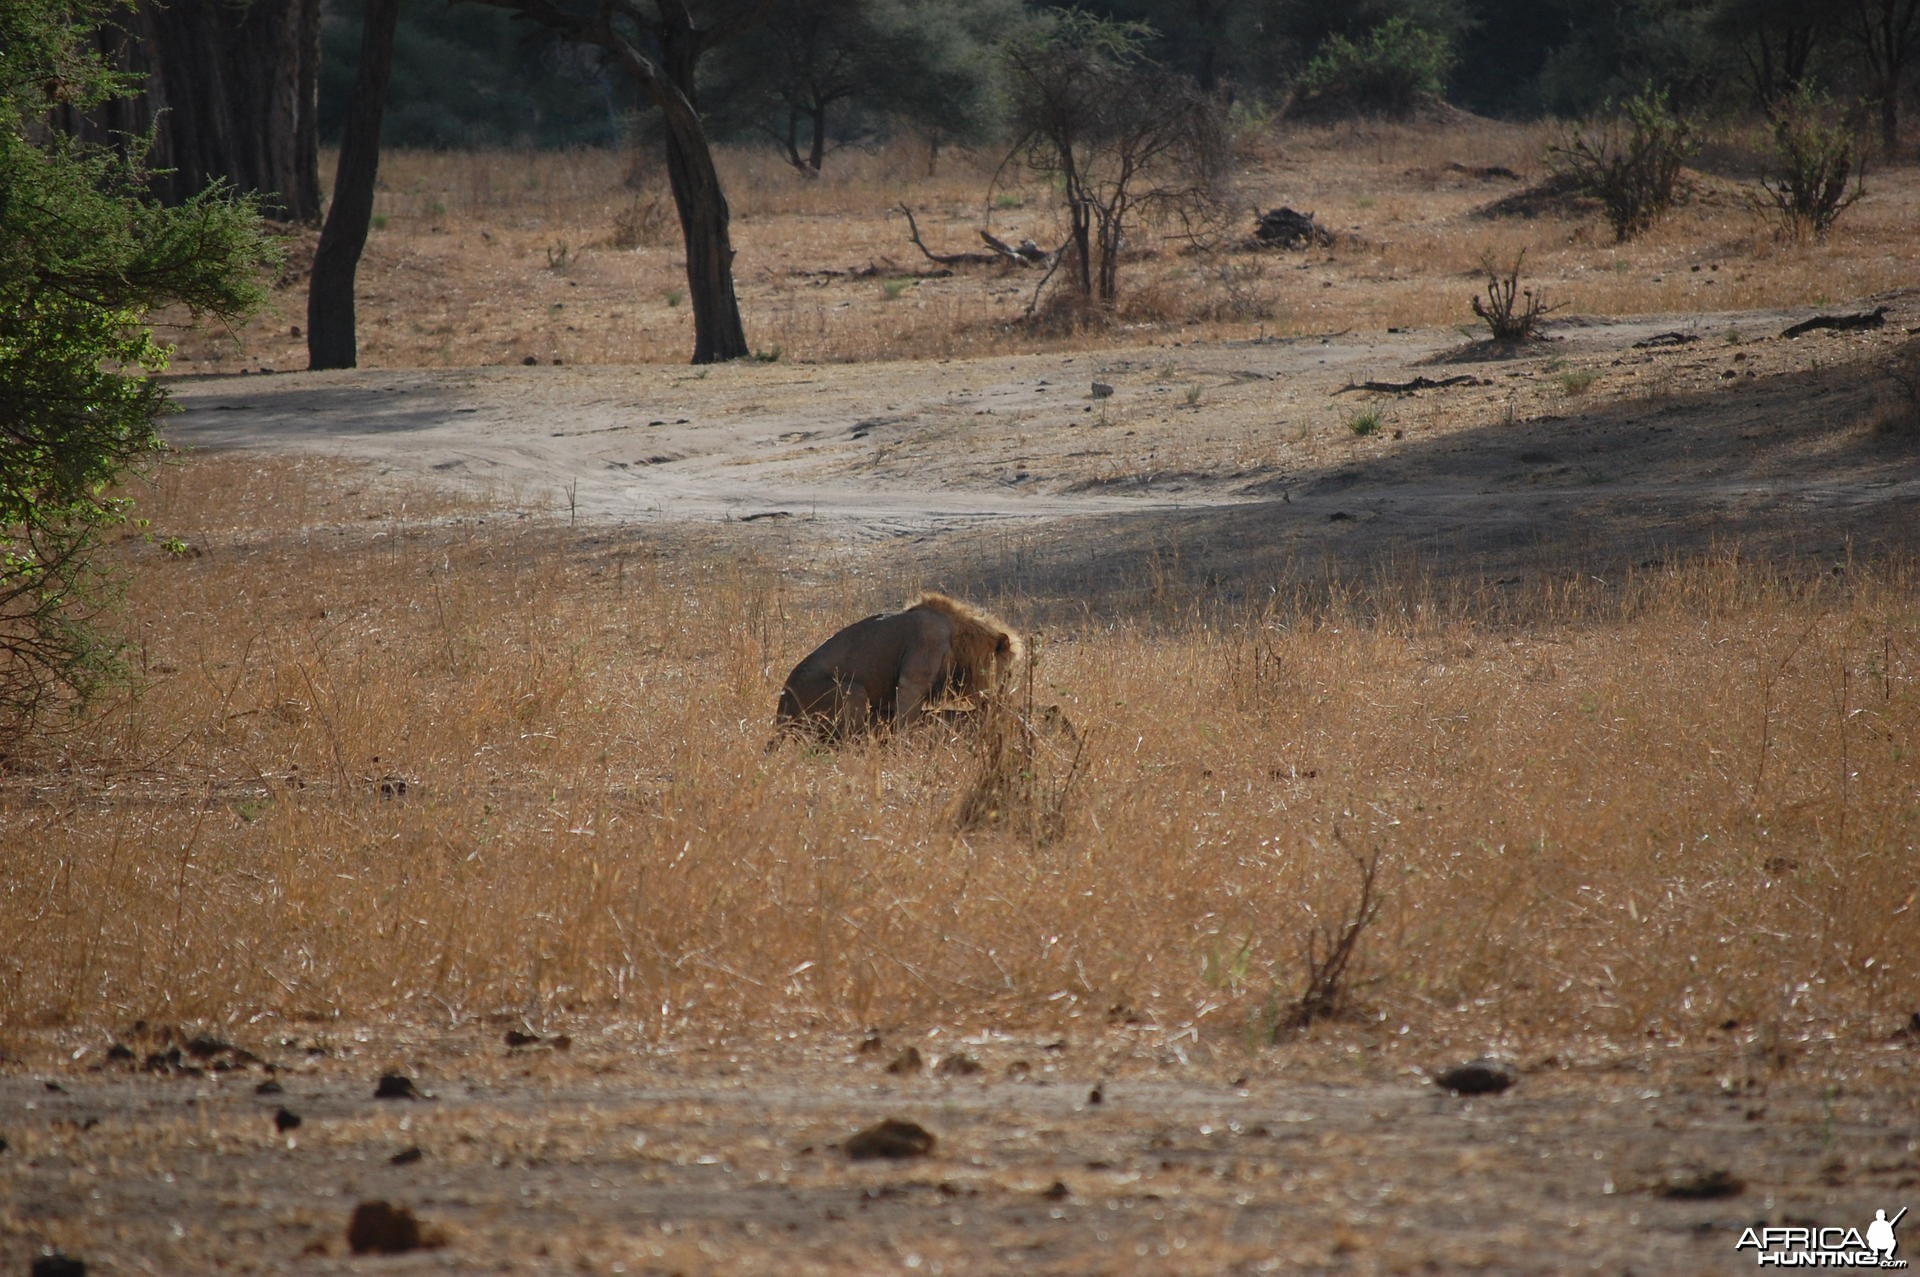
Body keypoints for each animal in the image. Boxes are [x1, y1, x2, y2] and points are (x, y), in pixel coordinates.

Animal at [775, 595, 1029, 741]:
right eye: (1008, 672)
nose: (1003, 693)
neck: (960, 637)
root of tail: (781, 709)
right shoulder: (914, 674)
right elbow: (906, 719)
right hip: (851, 690)